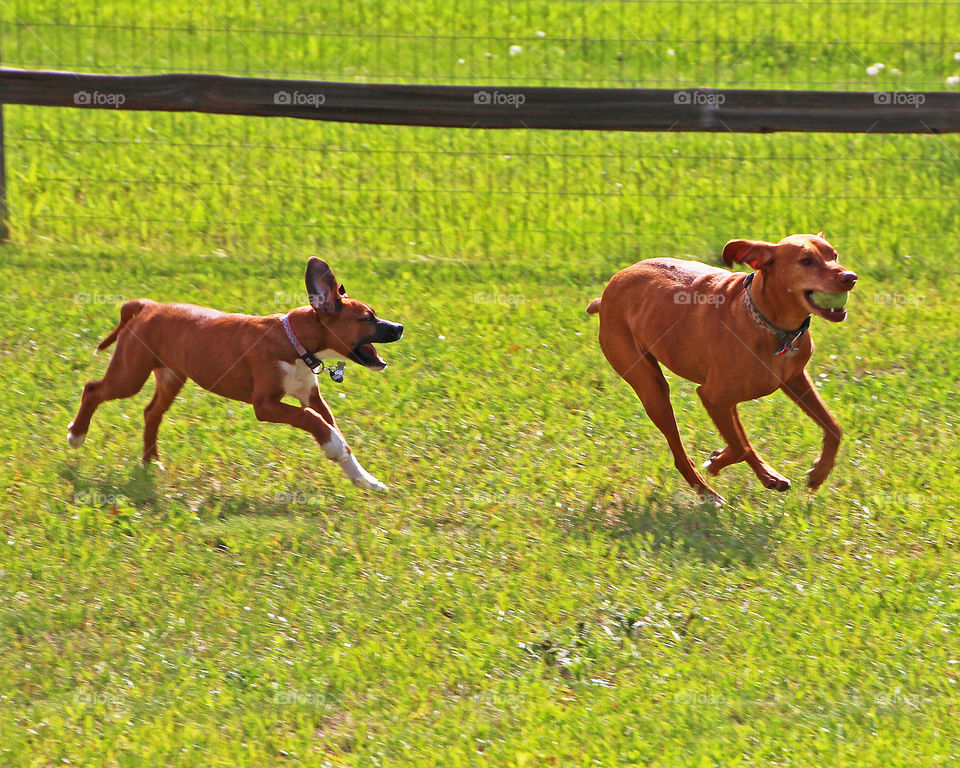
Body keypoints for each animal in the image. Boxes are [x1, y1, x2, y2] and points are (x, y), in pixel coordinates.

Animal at [67, 255, 404, 488]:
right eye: (367, 318)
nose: (399, 327)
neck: (294, 342)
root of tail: (148, 306)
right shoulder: (266, 404)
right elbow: (312, 421)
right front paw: (333, 446)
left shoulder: (311, 396)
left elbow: (332, 428)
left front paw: (365, 479)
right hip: (130, 375)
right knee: (93, 389)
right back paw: (77, 435)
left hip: (171, 377)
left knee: (151, 413)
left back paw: (151, 463)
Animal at [588, 237, 860, 508]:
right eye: (806, 261)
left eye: (834, 255)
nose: (850, 277)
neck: (770, 325)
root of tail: (609, 290)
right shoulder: (711, 397)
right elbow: (741, 447)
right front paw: (716, 462)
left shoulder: (794, 380)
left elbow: (834, 428)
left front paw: (818, 474)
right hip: (653, 389)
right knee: (682, 454)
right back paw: (709, 492)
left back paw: (769, 477)